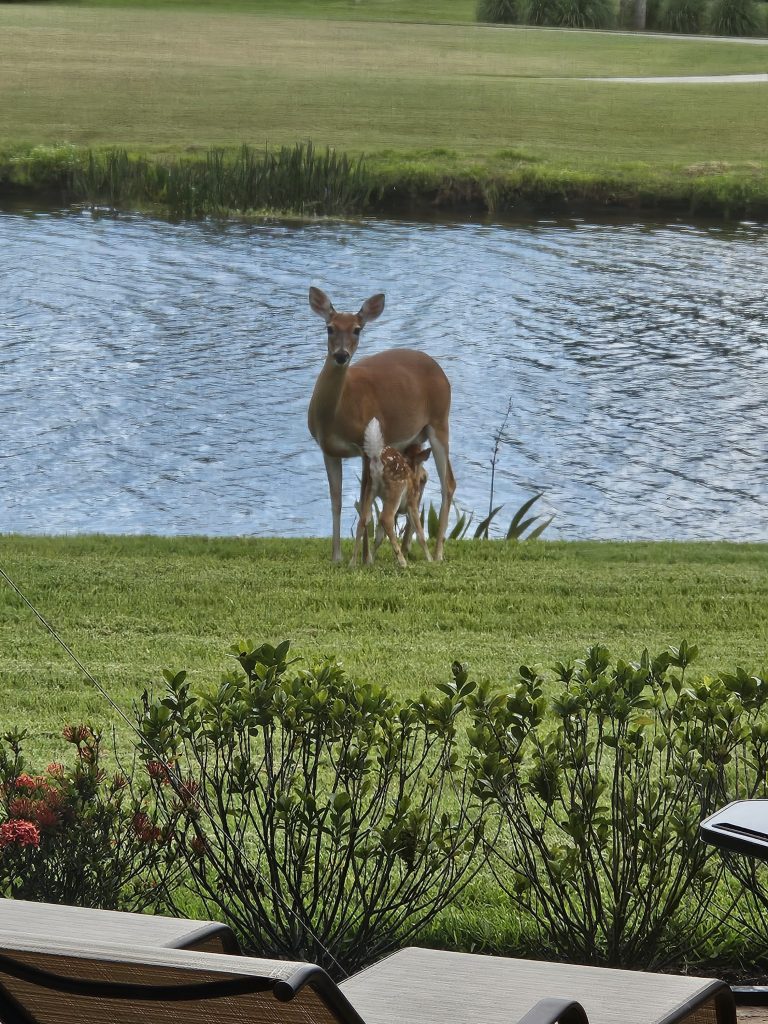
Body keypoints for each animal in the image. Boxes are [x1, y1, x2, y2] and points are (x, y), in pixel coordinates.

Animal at [351, 418, 432, 568]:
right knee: (385, 518)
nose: (425, 475)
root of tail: (376, 459)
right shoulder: (413, 502)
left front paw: (370, 560)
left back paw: (352, 563)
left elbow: (379, 537)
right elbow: (420, 533)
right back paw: (403, 562)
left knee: (363, 519)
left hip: (370, 489)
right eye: (423, 478)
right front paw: (431, 559)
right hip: (396, 490)